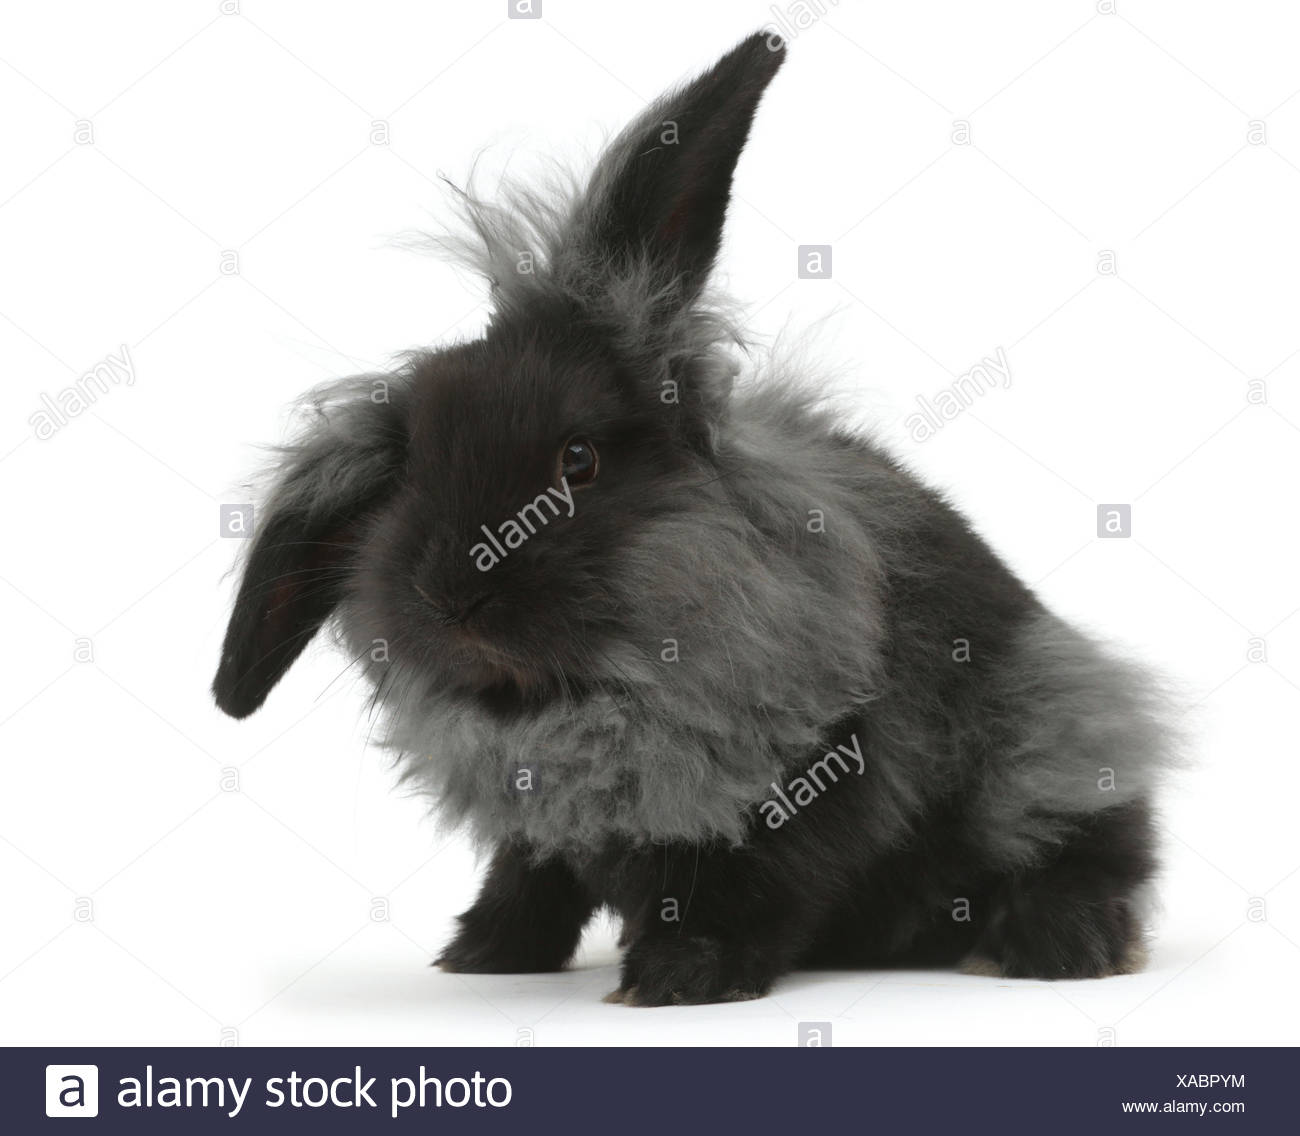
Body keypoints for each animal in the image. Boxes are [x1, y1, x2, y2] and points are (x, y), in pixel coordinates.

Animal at [213, 31, 1173, 1006]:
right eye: (407, 474)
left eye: (579, 460)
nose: (451, 598)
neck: (576, 704)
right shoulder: (539, 829)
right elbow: (529, 878)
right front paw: (485, 956)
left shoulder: (805, 783)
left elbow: (745, 886)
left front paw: (676, 979)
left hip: (1044, 727)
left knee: (1095, 844)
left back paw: (1056, 946)